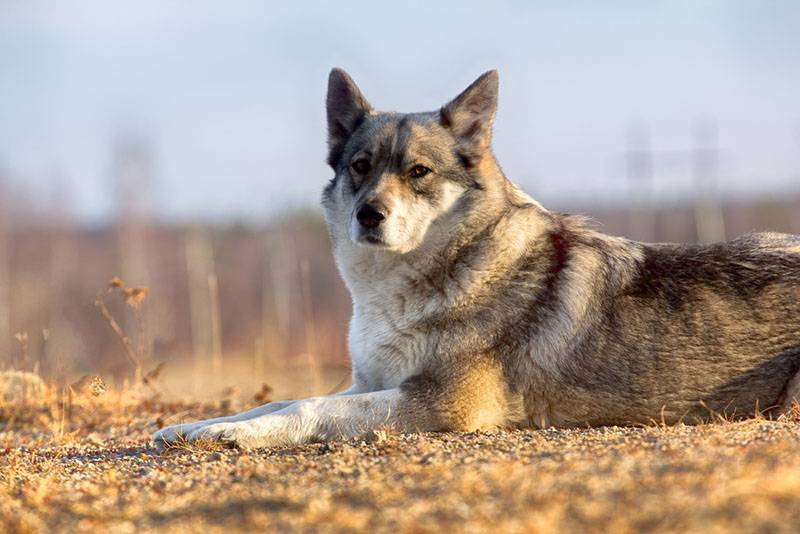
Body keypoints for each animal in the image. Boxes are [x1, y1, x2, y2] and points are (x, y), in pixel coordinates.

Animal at [152, 69, 800, 450]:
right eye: (361, 167)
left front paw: (238, 436)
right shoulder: (371, 381)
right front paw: (195, 427)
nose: (369, 215)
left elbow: (306, 407)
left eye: (418, 172)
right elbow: (282, 397)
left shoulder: (440, 402)